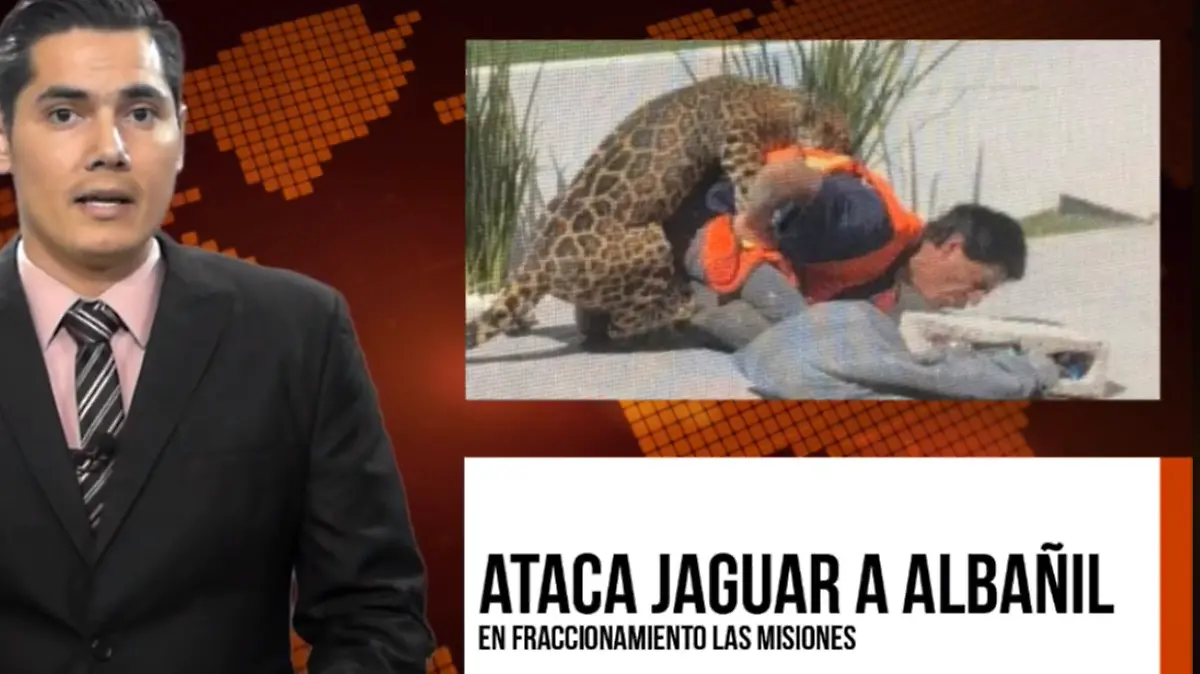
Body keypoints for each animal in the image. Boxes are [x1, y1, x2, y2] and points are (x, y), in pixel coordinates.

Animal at [464, 74, 853, 351]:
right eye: (838, 136)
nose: (852, 151)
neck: (774, 103)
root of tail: (539, 263)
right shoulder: (739, 146)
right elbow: (749, 192)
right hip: (650, 242)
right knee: (622, 325)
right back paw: (679, 307)